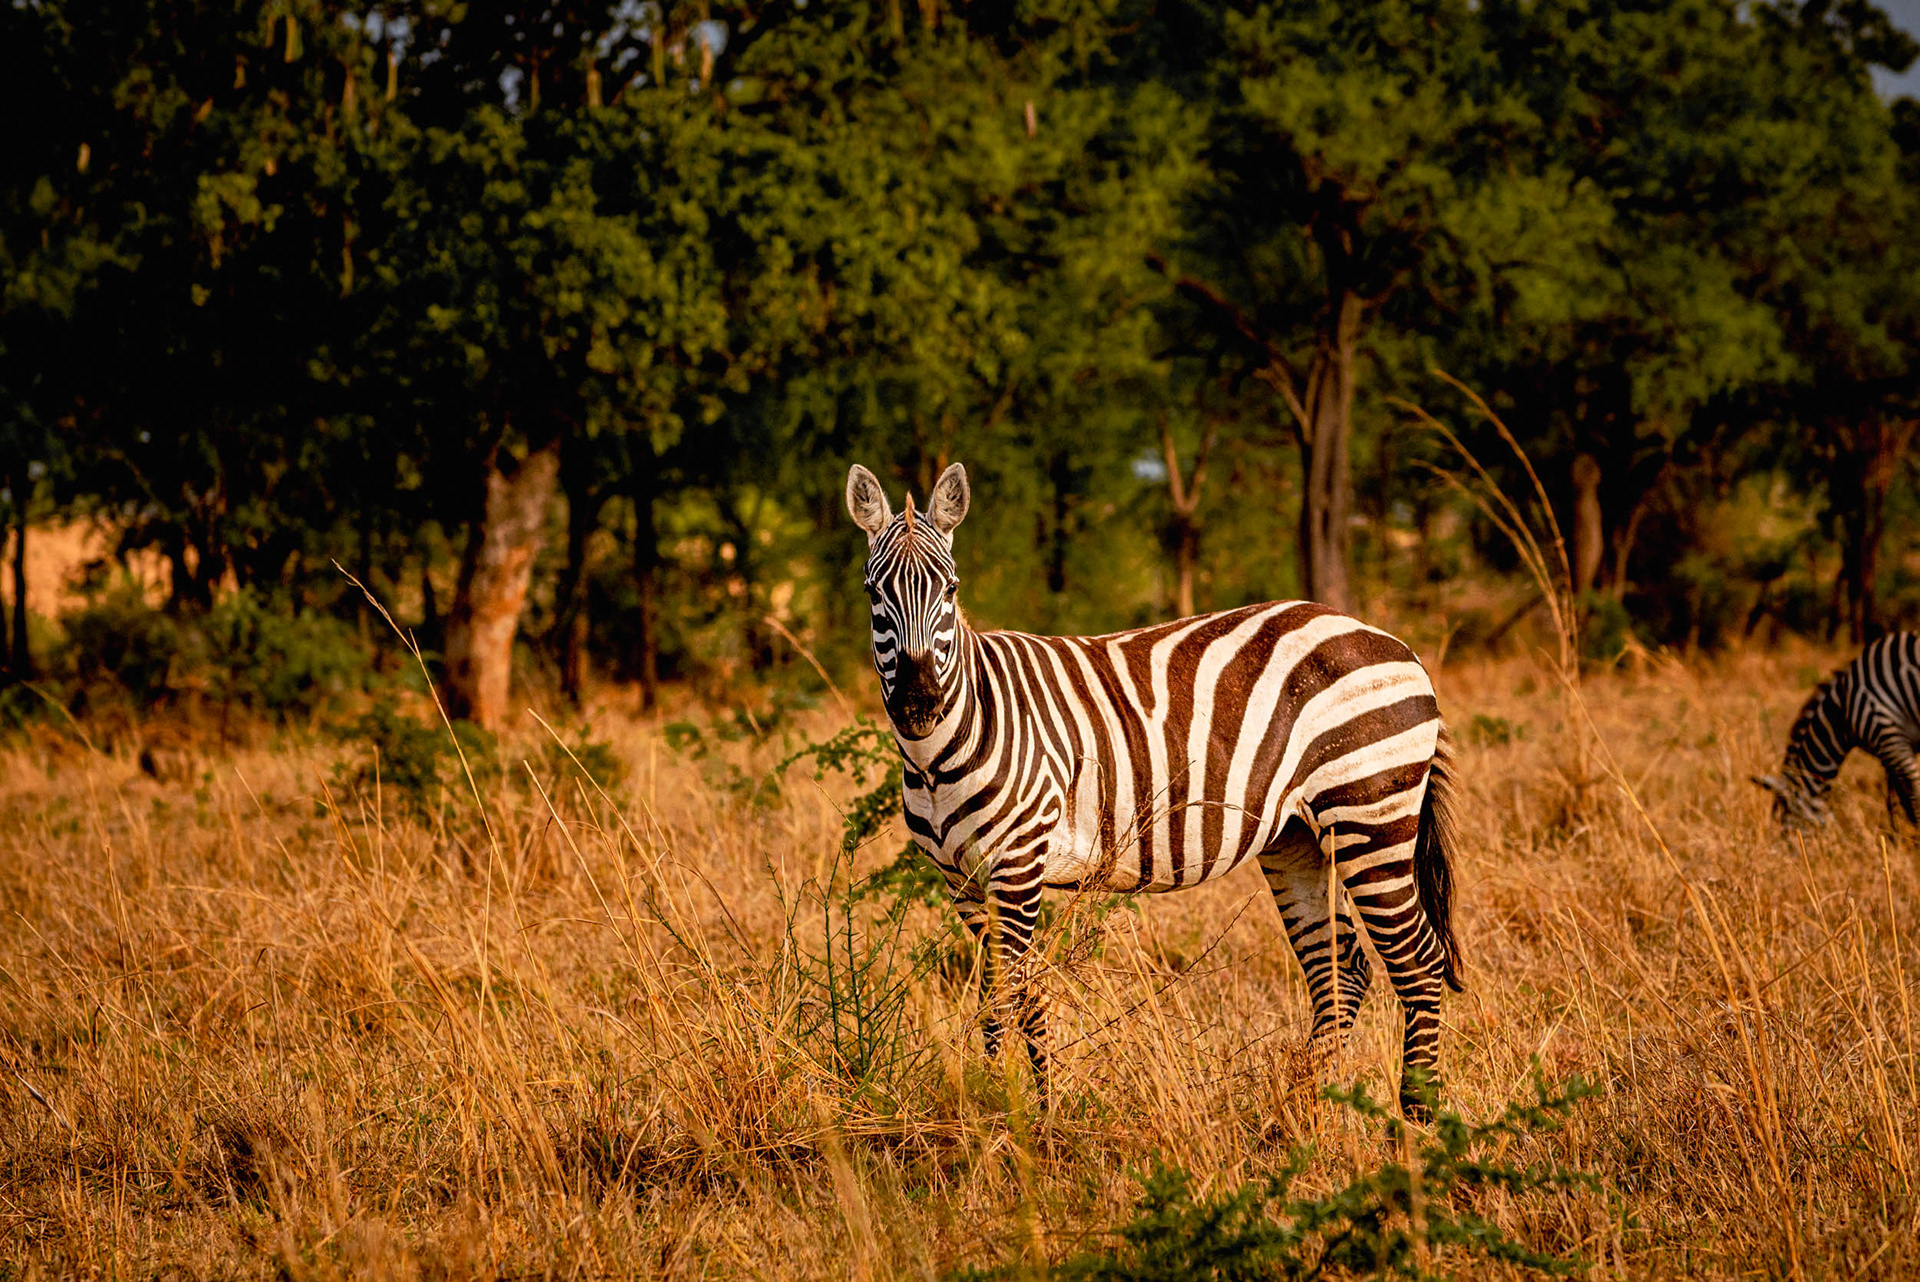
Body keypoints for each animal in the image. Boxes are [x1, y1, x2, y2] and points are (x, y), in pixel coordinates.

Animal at [845, 461, 1464, 1116]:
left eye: (951, 590)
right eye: (873, 594)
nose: (918, 705)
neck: (938, 755)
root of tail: (1393, 642)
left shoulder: (1017, 863)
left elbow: (1014, 996)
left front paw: (1021, 1115)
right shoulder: (960, 879)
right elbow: (1005, 997)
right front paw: (1012, 1106)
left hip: (1370, 811)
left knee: (1417, 961)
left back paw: (1416, 1116)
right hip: (1296, 836)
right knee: (1341, 968)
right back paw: (1304, 1108)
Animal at [1753, 633, 1920, 830]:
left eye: (1783, 825)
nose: (1775, 840)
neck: (1841, 713)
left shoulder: (1889, 738)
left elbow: (1912, 796)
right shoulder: (1889, 750)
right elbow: (1897, 799)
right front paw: (1899, 833)